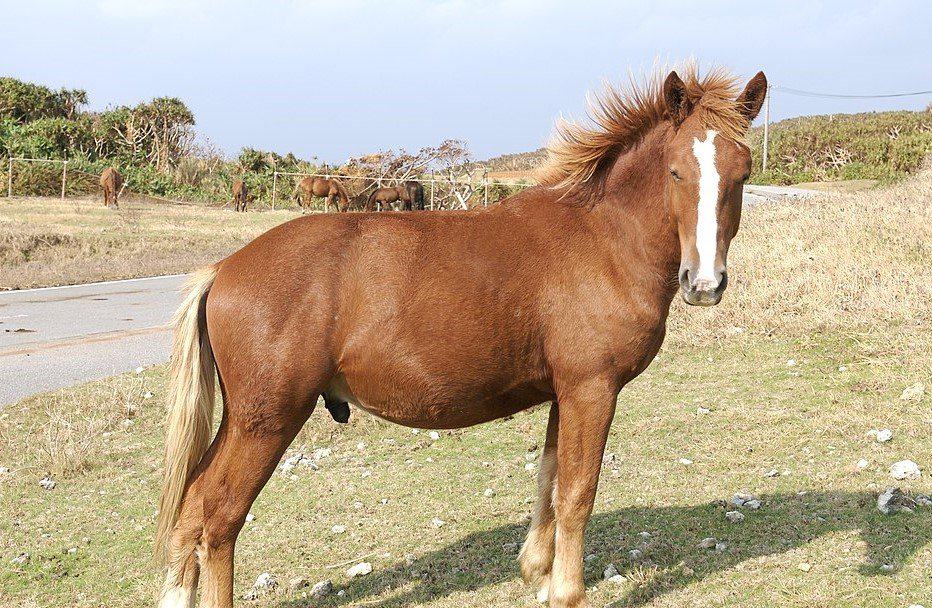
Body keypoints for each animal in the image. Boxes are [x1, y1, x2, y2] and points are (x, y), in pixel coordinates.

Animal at [153, 64, 764, 604]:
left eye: (743, 172)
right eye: (677, 171)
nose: (704, 283)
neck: (602, 238)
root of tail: (223, 270)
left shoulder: (563, 392)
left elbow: (548, 482)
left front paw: (538, 572)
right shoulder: (592, 389)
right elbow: (576, 494)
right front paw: (566, 591)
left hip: (240, 422)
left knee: (189, 516)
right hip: (266, 422)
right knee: (218, 520)